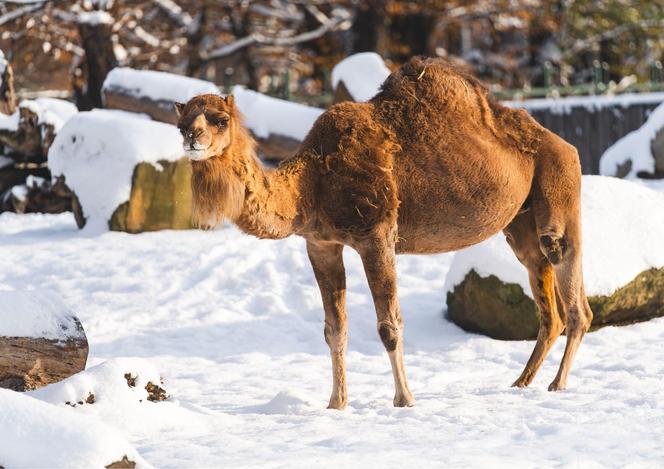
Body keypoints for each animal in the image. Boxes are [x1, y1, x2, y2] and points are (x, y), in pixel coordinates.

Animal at [174, 55, 592, 410]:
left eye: (219, 119)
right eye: (181, 123)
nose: (192, 138)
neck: (311, 182)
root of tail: (561, 140)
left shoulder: (376, 235)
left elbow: (389, 326)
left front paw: (404, 400)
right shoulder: (321, 243)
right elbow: (334, 329)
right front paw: (336, 404)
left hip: (560, 183)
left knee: (570, 280)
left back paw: (558, 383)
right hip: (518, 222)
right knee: (545, 294)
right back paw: (521, 383)